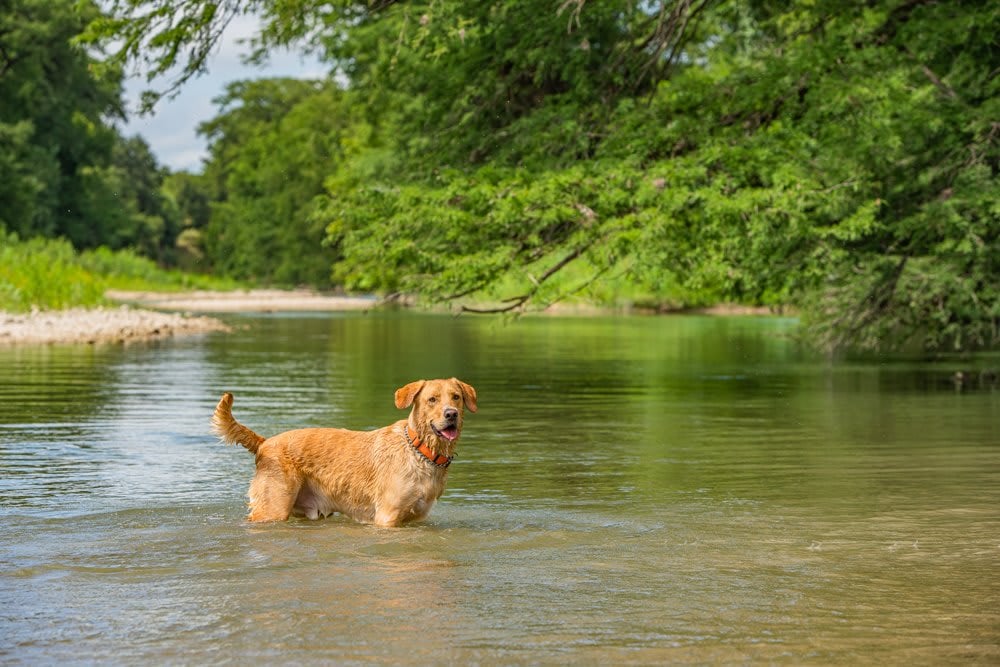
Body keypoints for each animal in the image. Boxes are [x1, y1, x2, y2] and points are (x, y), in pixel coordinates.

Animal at [211, 380, 476, 528]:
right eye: (432, 399)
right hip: (272, 508)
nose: (451, 414)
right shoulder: (387, 517)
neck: (421, 451)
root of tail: (265, 443)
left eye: (456, 397)